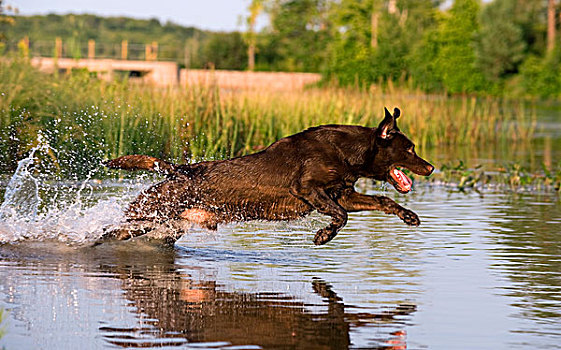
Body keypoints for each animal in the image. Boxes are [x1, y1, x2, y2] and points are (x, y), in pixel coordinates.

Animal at [99, 107, 434, 246]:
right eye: (411, 149)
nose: (431, 168)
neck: (347, 151)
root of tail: (179, 171)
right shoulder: (309, 190)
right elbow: (341, 217)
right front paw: (323, 236)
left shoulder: (344, 194)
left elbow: (382, 202)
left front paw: (409, 216)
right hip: (146, 215)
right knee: (107, 231)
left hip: (167, 226)